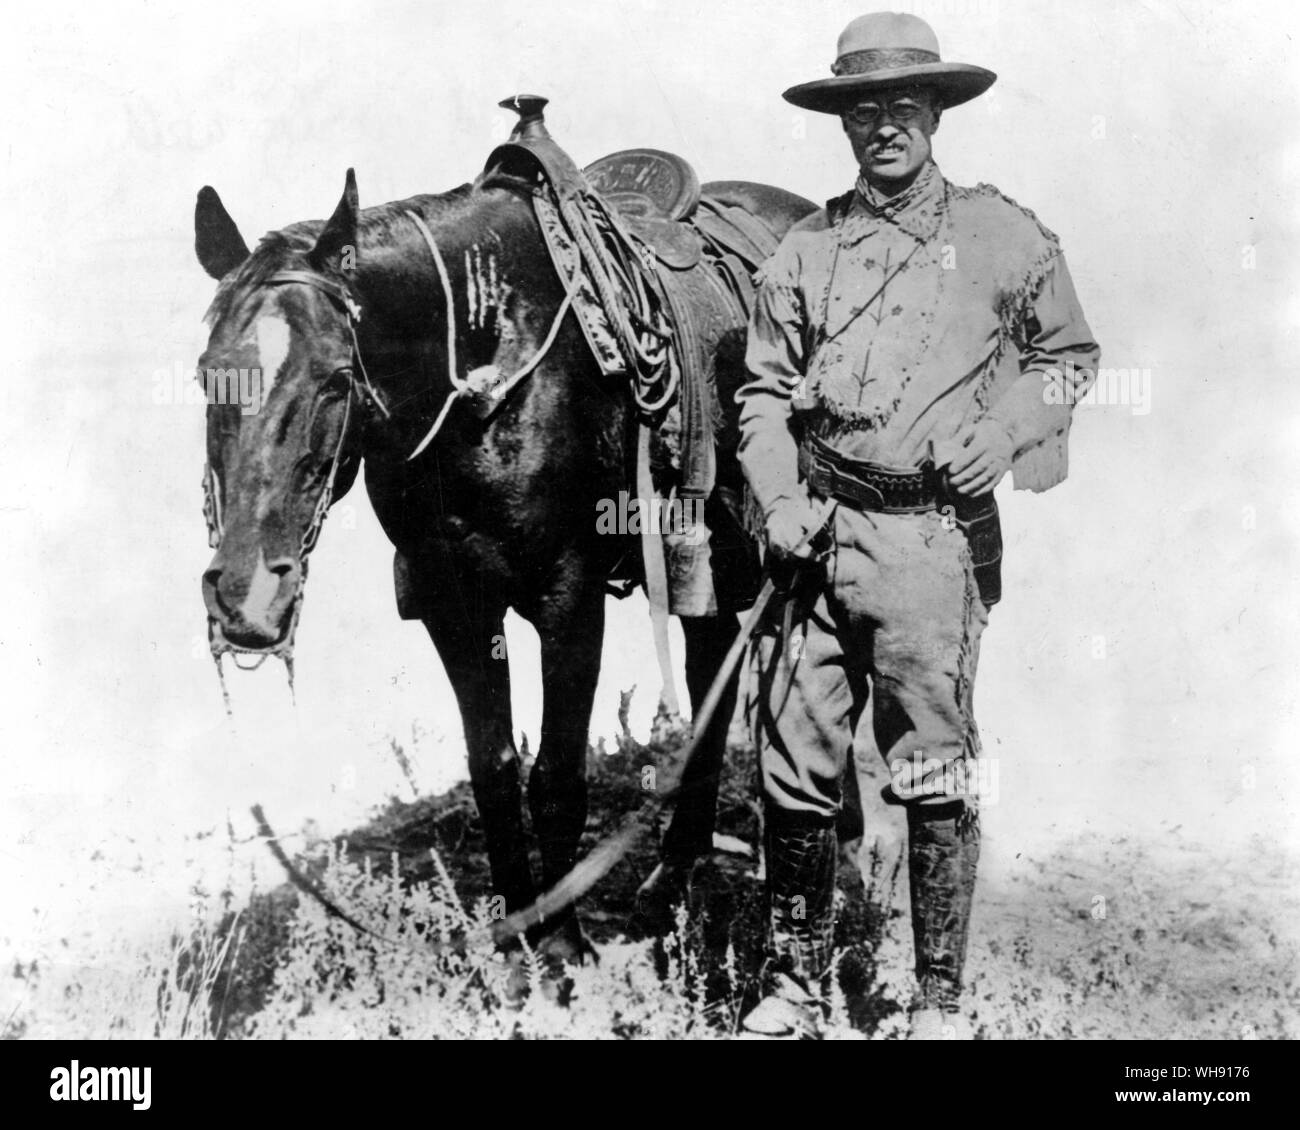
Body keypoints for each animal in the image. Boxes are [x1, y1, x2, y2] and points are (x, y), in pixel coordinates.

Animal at [196, 136, 811, 957]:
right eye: (207, 373)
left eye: (335, 378)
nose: (246, 599)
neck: (485, 368)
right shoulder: (453, 600)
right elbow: (492, 771)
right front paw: (518, 937)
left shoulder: (569, 597)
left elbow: (556, 777)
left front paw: (564, 945)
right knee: (713, 667)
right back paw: (673, 874)